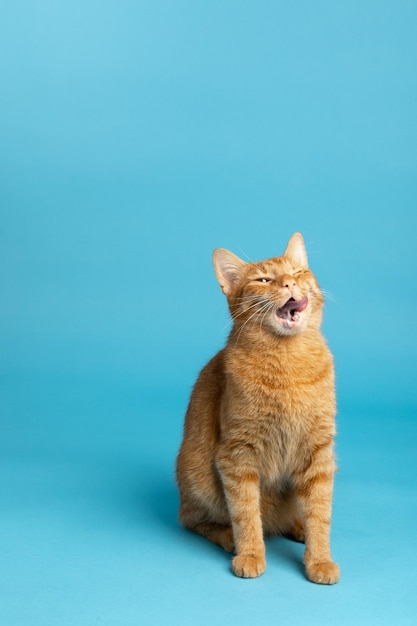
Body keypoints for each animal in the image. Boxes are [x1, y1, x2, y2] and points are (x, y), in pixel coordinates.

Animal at [176, 232, 338, 584]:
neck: (289, 362)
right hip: (197, 478)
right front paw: (250, 553)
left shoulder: (318, 453)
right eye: (263, 280)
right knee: (193, 520)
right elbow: (246, 513)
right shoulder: (237, 456)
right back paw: (228, 538)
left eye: (298, 272)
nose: (290, 282)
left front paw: (319, 559)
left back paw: (296, 526)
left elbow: (320, 512)